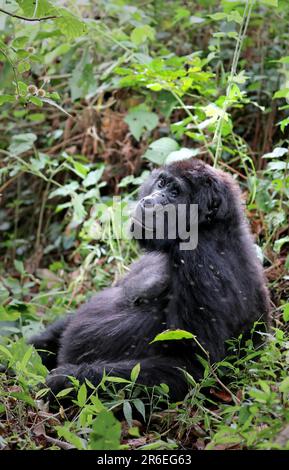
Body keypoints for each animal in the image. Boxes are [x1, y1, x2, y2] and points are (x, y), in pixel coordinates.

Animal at [28, 160, 268, 402]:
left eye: (175, 193)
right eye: (161, 183)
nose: (151, 200)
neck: (210, 227)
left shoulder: (201, 262)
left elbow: (191, 366)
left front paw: (66, 380)